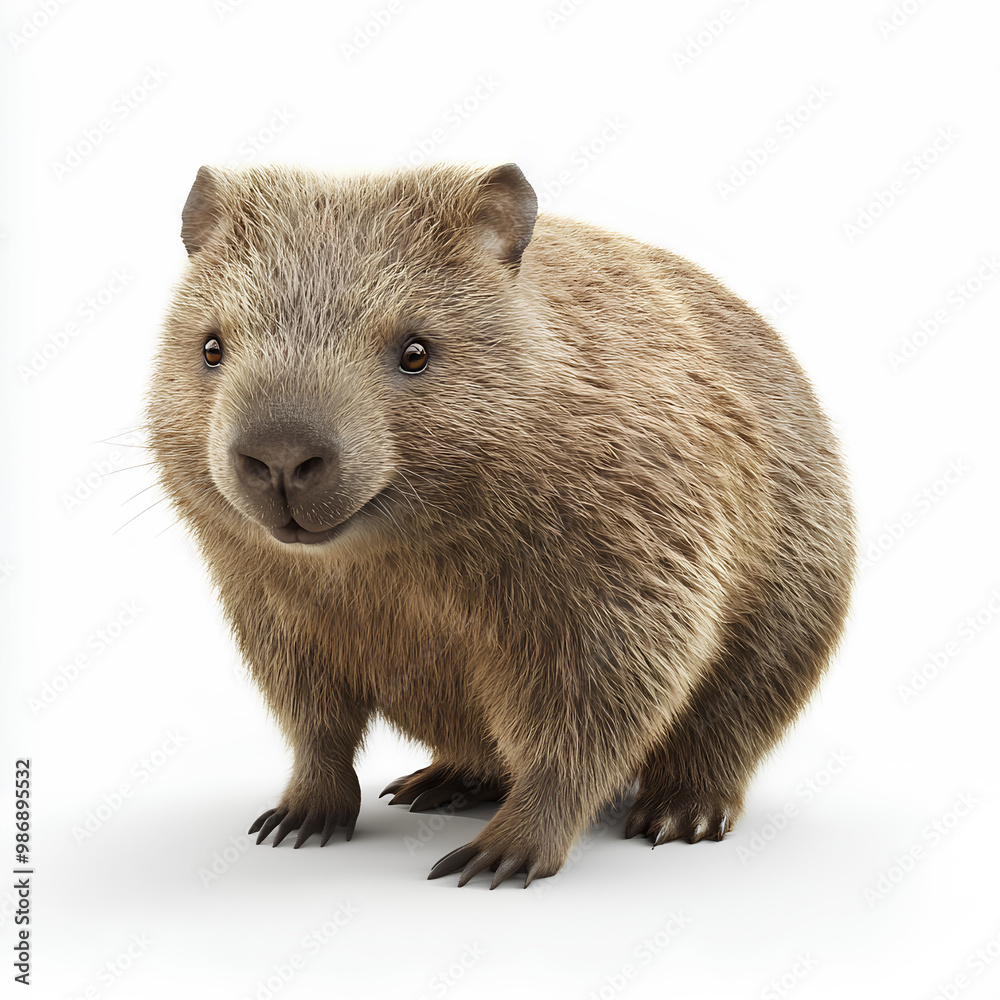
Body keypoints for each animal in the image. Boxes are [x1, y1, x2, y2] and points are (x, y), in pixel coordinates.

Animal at [146, 161, 856, 889]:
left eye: (415, 351)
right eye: (211, 347)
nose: (281, 457)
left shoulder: (636, 551)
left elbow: (595, 707)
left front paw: (499, 856)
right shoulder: (264, 596)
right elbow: (312, 716)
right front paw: (298, 818)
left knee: (728, 725)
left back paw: (680, 813)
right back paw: (438, 782)